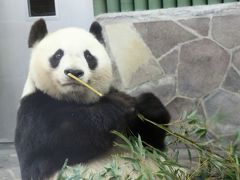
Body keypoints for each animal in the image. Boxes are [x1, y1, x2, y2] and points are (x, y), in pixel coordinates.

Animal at [15, 19, 171, 180]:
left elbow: (150, 142)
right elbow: (64, 139)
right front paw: (119, 104)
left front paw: (147, 106)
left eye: (88, 56)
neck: (74, 99)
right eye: (58, 55)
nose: (74, 72)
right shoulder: (34, 110)